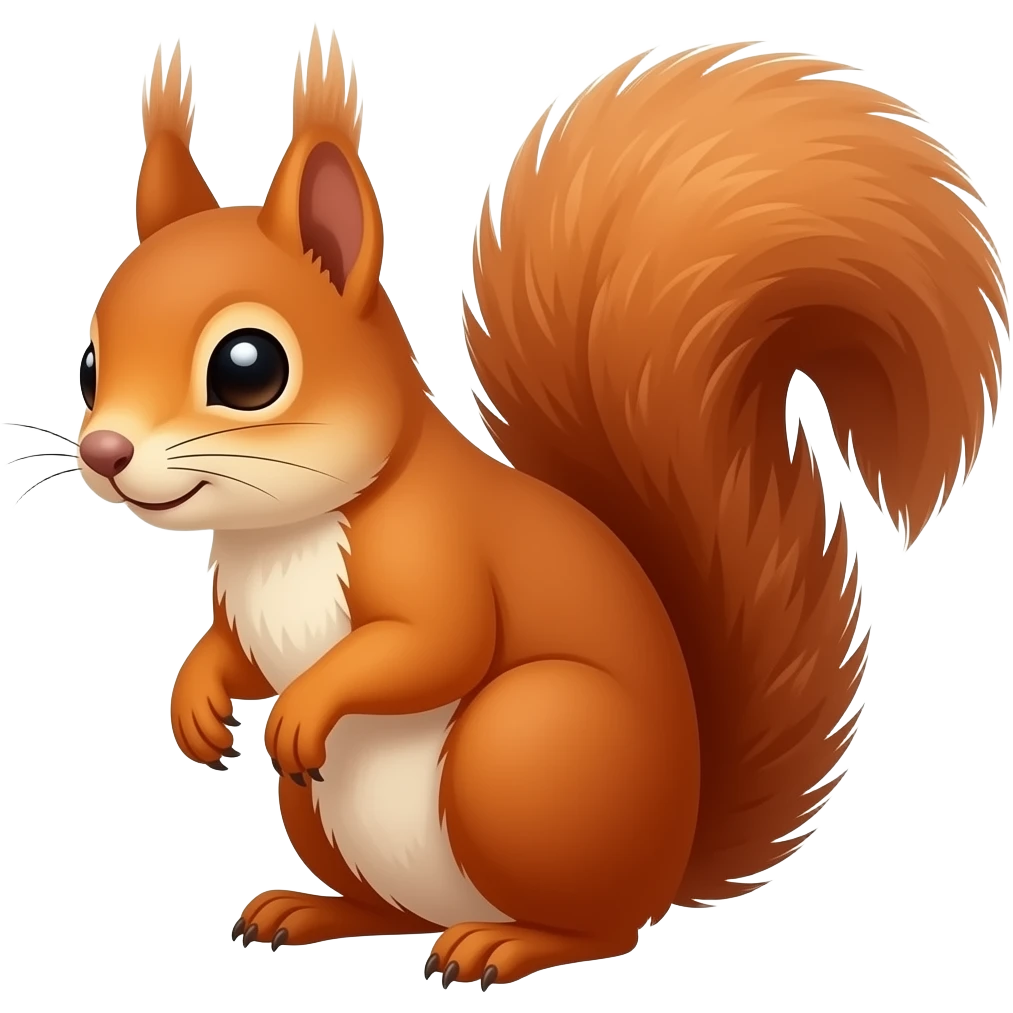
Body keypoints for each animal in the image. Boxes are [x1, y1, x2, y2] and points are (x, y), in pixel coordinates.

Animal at [69, 30, 1005, 988]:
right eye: (90, 367)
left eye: (248, 366)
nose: (104, 453)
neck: (281, 533)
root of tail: (667, 862)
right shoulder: (246, 606)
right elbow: (237, 651)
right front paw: (195, 700)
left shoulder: (435, 546)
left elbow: (437, 642)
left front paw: (303, 705)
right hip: (331, 818)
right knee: (395, 909)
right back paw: (314, 908)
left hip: (525, 746)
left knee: (600, 927)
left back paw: (506, 943)